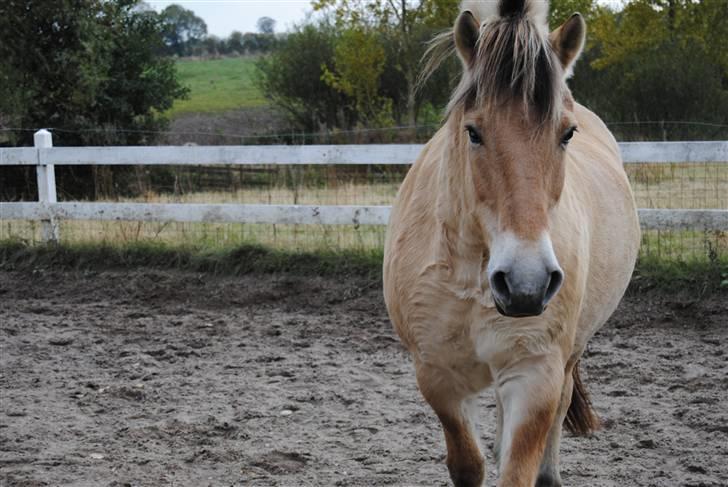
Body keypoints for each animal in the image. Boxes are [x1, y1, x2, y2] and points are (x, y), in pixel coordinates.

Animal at [384, 1, 640, 486]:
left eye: (567, 133)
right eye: (473, 131)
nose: (526, 283)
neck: (470, 271)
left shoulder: (535, 374)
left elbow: (519, 465)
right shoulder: (437, 377)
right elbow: (467, 462)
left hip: (568, 355)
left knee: (560, 409)